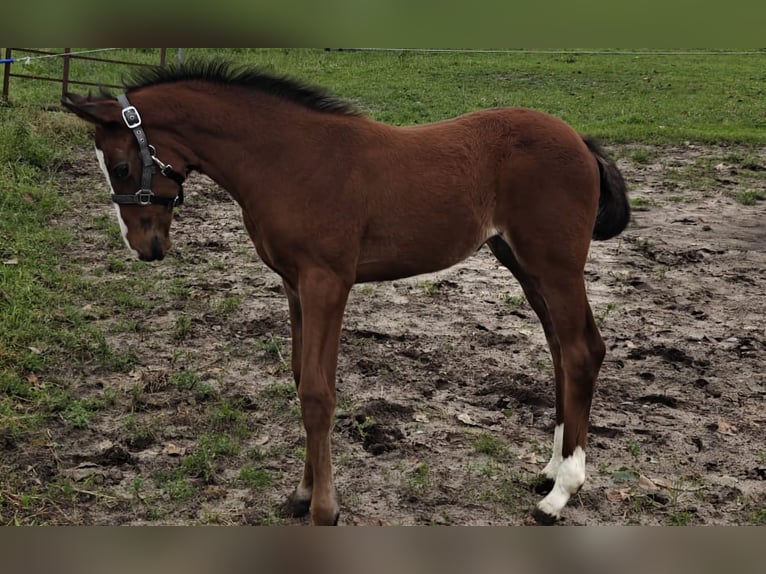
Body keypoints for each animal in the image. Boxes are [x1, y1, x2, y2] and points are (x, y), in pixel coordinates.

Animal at [62, 60, 630, 525]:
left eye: (120, 167)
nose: (144, 247)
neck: (289, 159)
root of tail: (580, 140)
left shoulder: (326, 282)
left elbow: (317, 393)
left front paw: (323, 509)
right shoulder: (294, 284)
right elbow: (301, 379)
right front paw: (301, 493)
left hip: (555, 266)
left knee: (582, 350)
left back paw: (561, 494)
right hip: (520, 262)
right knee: (559, 348)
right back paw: (551, 468)